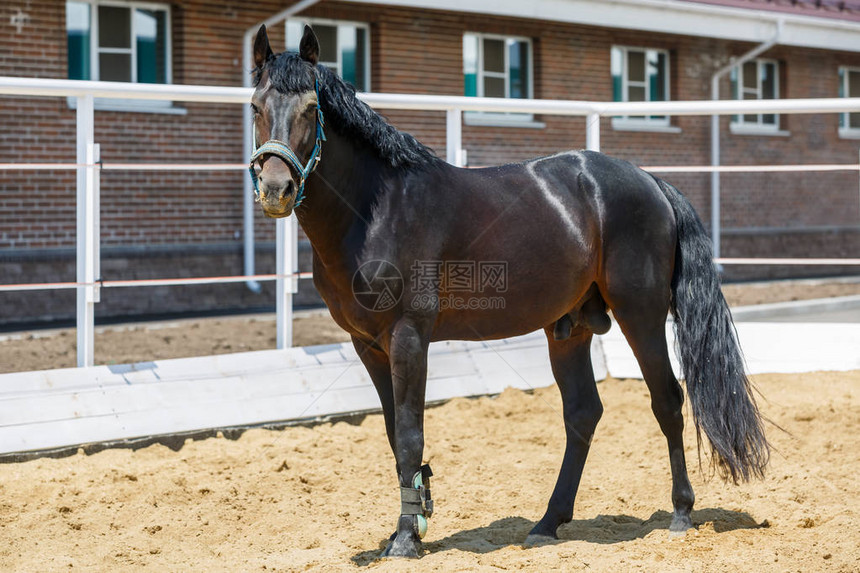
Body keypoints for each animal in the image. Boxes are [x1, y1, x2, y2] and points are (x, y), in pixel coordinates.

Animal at [245, 24, 768, 556]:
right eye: (255, 106)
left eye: (311, 108)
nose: (276, 189)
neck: (377, 209)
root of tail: (651, 182)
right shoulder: (367, 344)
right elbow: (394, 435)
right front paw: (407, 525)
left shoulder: (408, 337)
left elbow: (410, 436)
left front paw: (407, 538)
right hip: (570, 327)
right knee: (583, 413)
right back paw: (548, 523)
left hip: (639, 313)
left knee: (666, 400)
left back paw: (681, 512)